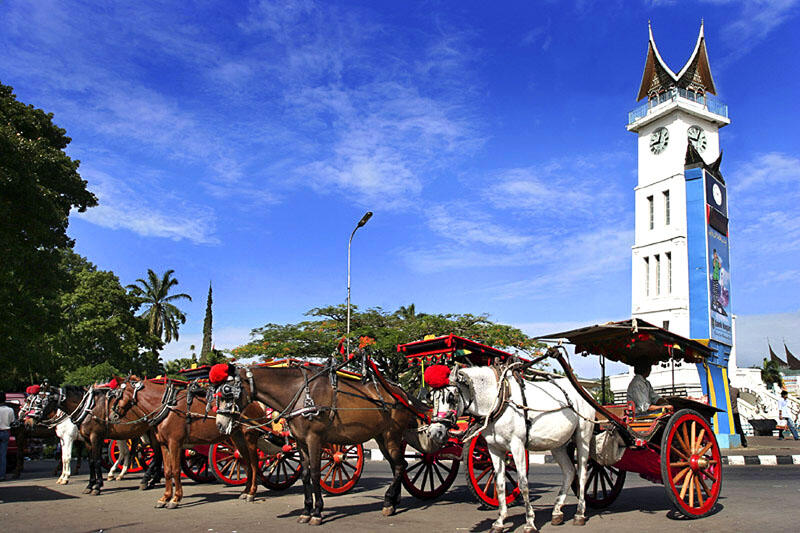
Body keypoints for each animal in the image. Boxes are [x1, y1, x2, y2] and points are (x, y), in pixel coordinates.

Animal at [108, 374, 266, 508]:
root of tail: (255, 403)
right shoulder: (164, 445)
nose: (111, 416)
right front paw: (165, 497)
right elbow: (167, 471)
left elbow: (176, 470)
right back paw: (245, 491)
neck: (167, 407)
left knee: (253, 463)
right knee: (245, 462)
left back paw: (252, 492)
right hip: (237, 437)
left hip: (250, 435)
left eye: (117, 394)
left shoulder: (175, 443)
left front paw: (175, 498)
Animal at [212, 362, 424, 524]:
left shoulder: (314, 439)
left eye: (228, 392)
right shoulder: (300, 442)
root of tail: (399, 392)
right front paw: (306, 511)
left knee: (400, 465)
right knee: (397, 465)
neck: (300, 394)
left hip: (391, 435)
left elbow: (315, 473)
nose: (220, 424)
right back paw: (393, 501)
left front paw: (317, 512)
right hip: (381, 437)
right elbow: (305, 474)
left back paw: (388, 502)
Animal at [424, 362, 592, 532]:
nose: (434, 432)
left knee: (582, 473)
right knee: (569, 471)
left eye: (451, 397)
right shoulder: (494, 449)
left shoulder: (517, 446)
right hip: (557, 444)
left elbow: (523, 484)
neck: (498, 399)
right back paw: (557, 512)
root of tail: (584, 390)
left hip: (583, 437)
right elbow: (499, 483)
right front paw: (500, 521)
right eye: (431, 398)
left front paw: (530, 522)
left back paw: (579, 513)